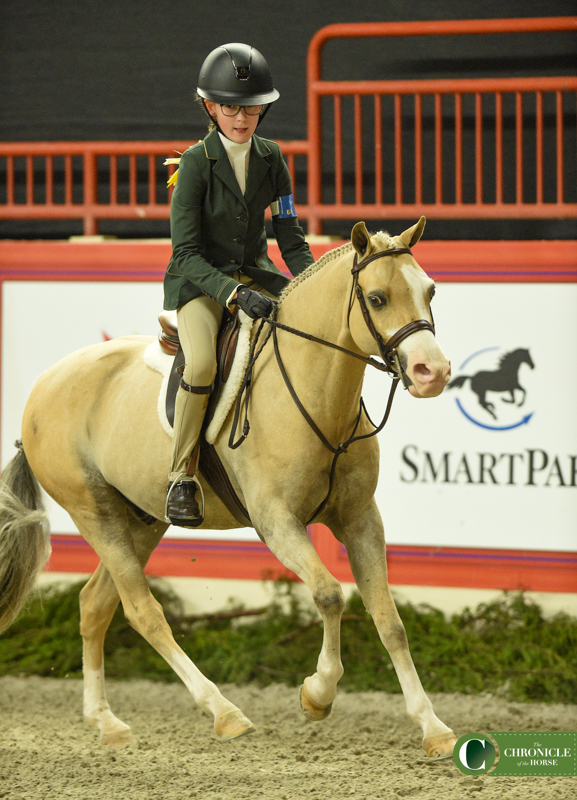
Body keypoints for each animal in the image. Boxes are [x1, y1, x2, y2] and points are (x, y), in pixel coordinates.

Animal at [2, 217, 456, 756]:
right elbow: (329, 595)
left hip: (142, 518)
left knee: (95, 605)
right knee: (142, 610)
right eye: (378, 297)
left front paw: (432, 726)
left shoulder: (361, 518)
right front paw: (317, 694)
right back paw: (224, 712)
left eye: (430, 290)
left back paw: (105, 721)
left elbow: (390, 621)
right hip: (95, 513)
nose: (433, 373)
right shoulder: (277, 521)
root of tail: (43, 386)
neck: (315, 390)